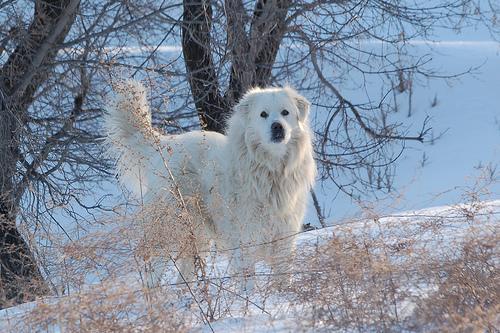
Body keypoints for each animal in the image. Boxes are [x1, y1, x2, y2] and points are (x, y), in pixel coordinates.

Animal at [104, 80, 316, 288]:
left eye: (285, 112)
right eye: (263, 114)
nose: (277, 127)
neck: (270, 169)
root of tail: (163, 145)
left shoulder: (284, 238)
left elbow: (283, 279)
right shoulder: (245, 241)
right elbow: (248, 281)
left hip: (198, 235)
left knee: (184, 275)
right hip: (168, 228)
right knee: (153, 273)